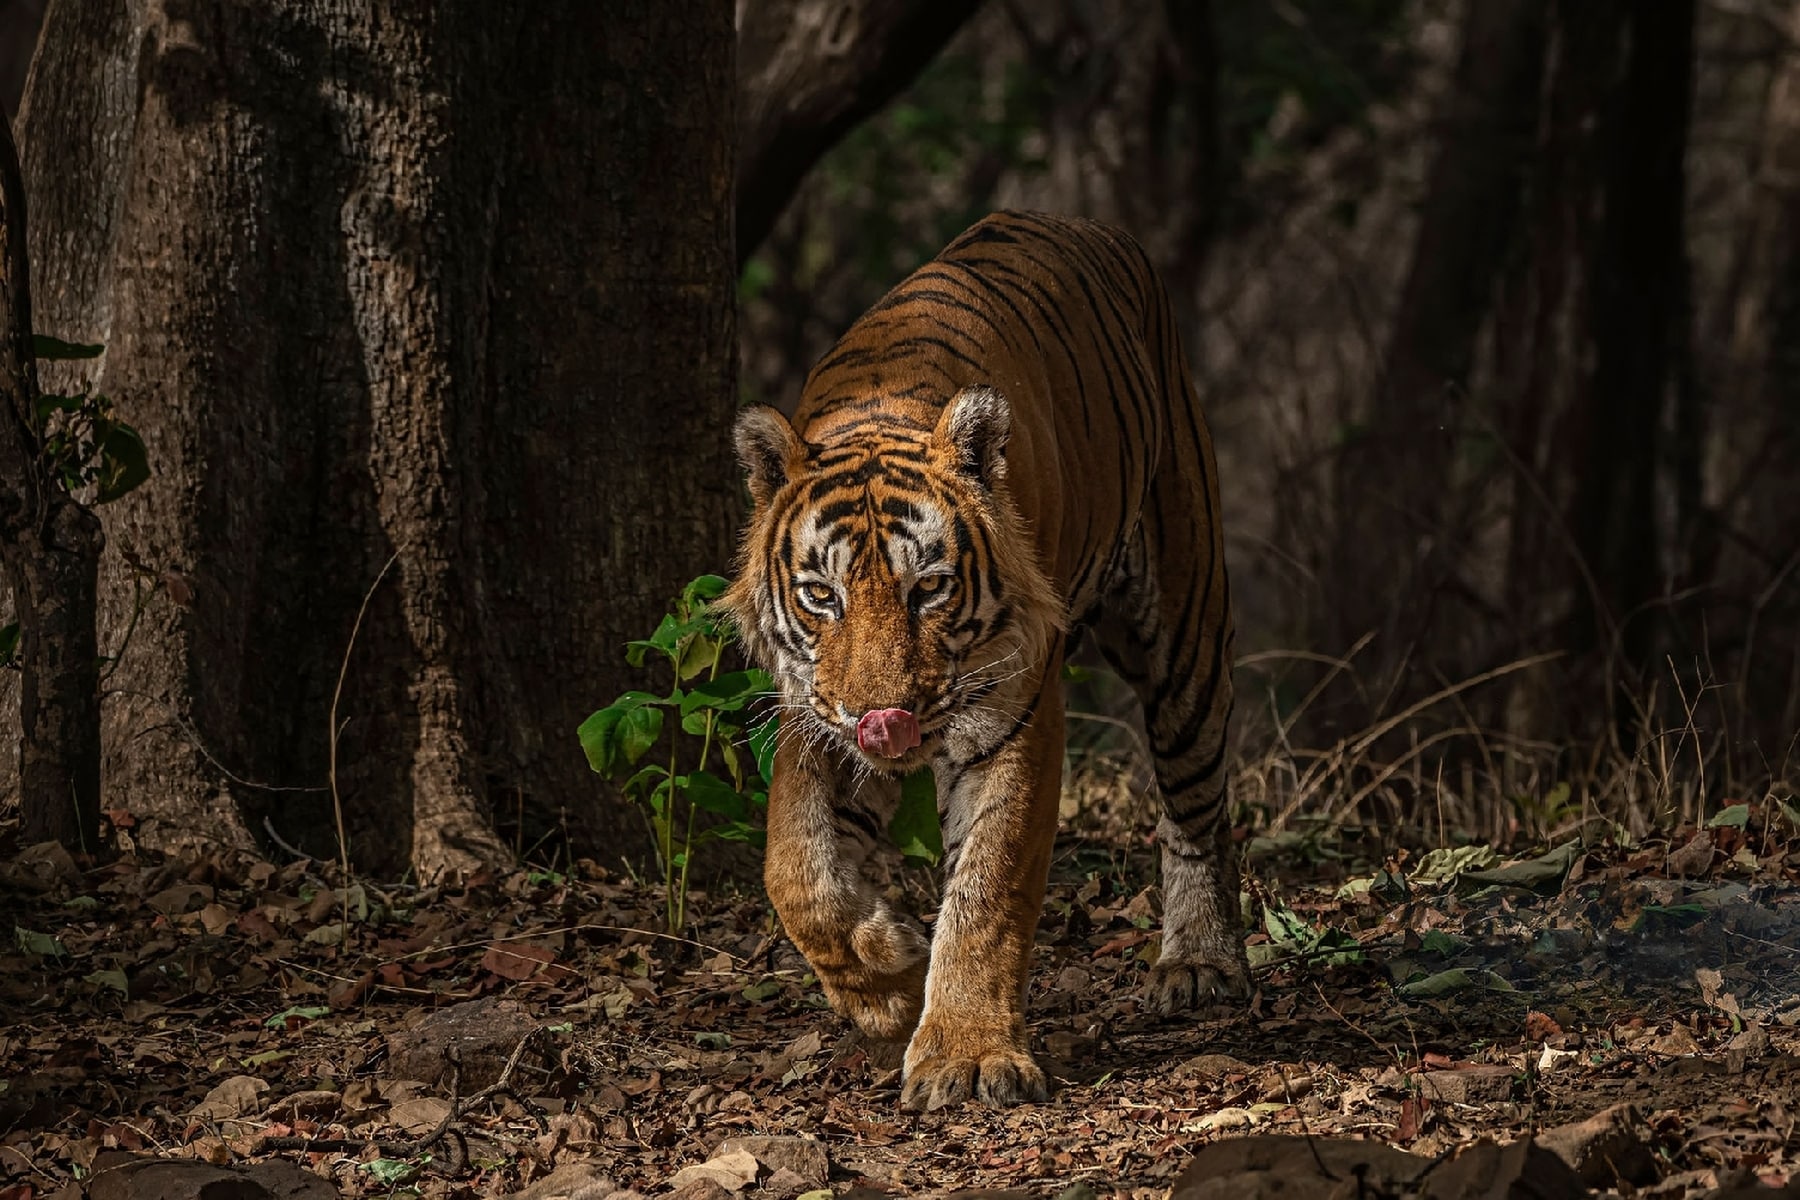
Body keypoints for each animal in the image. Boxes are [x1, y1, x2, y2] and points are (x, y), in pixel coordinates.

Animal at [722, 210, 1247, 1111]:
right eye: (822, 595)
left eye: (928, 587)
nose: (883, 718)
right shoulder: (815, 714)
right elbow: (795, 870)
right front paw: (888, 982)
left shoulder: (1015, 712)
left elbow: (987, 890)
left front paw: (964, 1055)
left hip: (1184, 626)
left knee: (1196, 804)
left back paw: (1198, 961)